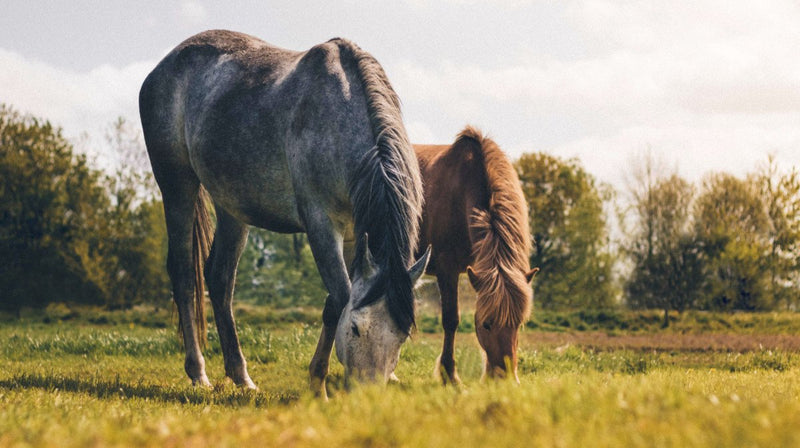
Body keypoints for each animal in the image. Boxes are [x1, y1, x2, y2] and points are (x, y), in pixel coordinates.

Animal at [139, 30, 430, 397]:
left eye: (402, 336)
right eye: (355, 329)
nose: (367, 396)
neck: (339, 119)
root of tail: (162, 67)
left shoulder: (354, 235)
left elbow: (334, 302)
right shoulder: (321, 226)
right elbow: (340, 298)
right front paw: (318, 384)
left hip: (231, 207)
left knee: (220, 280)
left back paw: (240, 375)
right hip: (177, 185)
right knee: (183, 275)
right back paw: (198, 372)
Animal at [414, 127, 538, 383]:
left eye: (518, 324)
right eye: (486, 324)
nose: (505, 378)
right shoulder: (447, 270)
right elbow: (451, 320)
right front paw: (450, 375)